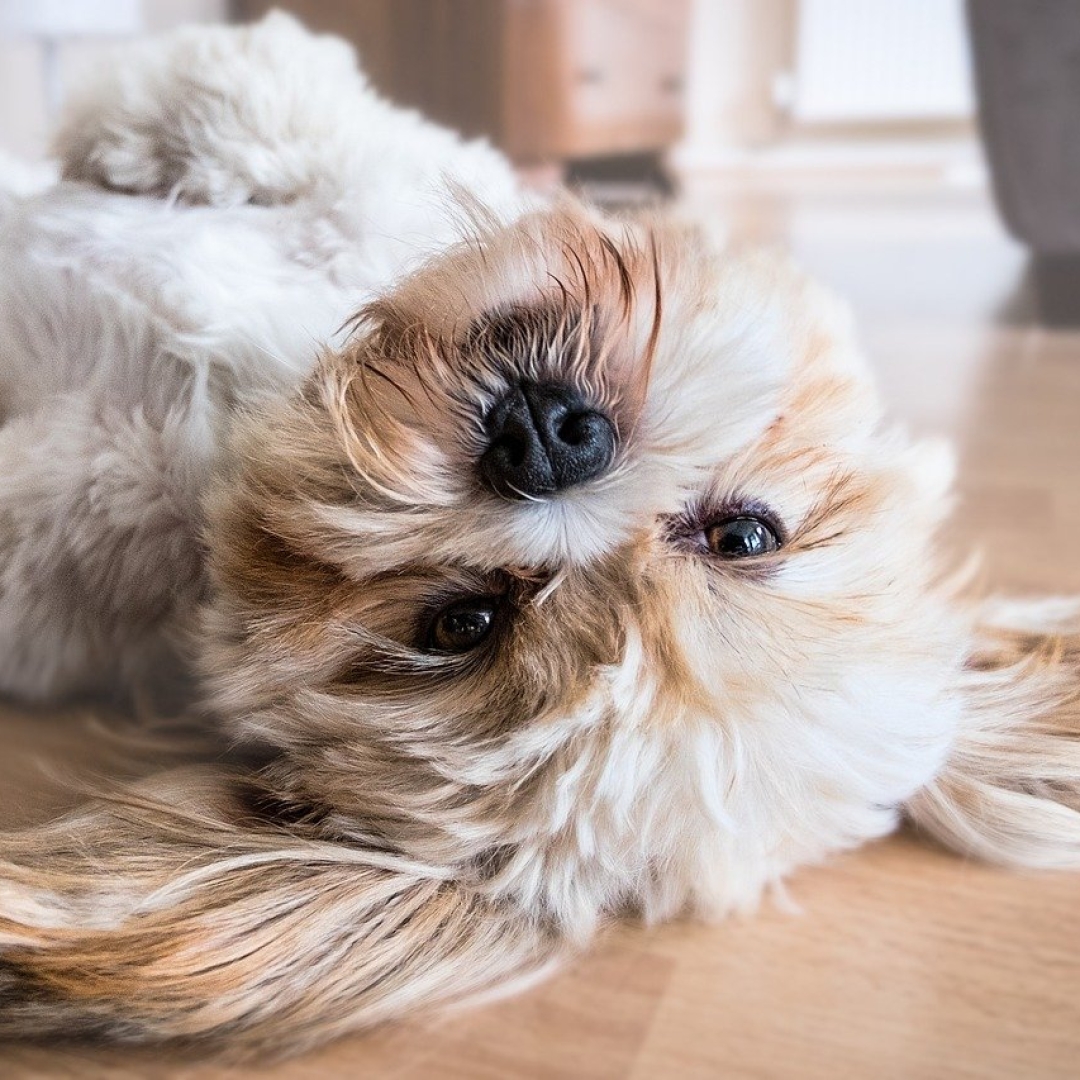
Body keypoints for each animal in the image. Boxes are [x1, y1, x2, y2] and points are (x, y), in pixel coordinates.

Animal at [2, 8, 1080, 1054]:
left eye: (460, 625)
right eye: (745, 535)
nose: (548, 443)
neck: (244, 404)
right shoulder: (378, 174)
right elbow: (273, 109)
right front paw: (142, 132)